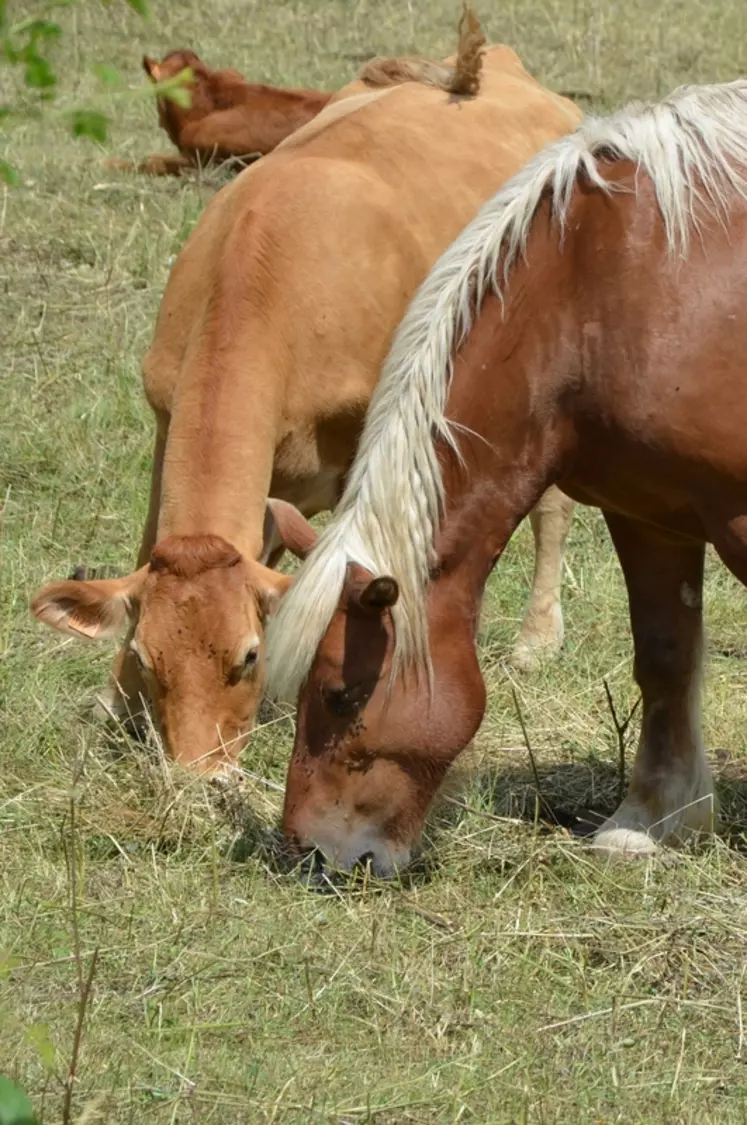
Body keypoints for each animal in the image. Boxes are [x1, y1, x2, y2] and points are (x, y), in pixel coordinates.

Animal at [32, 13, 580, 774]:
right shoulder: (167, 416)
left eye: (248, 656)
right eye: (145, 657)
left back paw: (537, 637)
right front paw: (116, 703)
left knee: (552, 506)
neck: (266, 272)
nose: (198, 778)